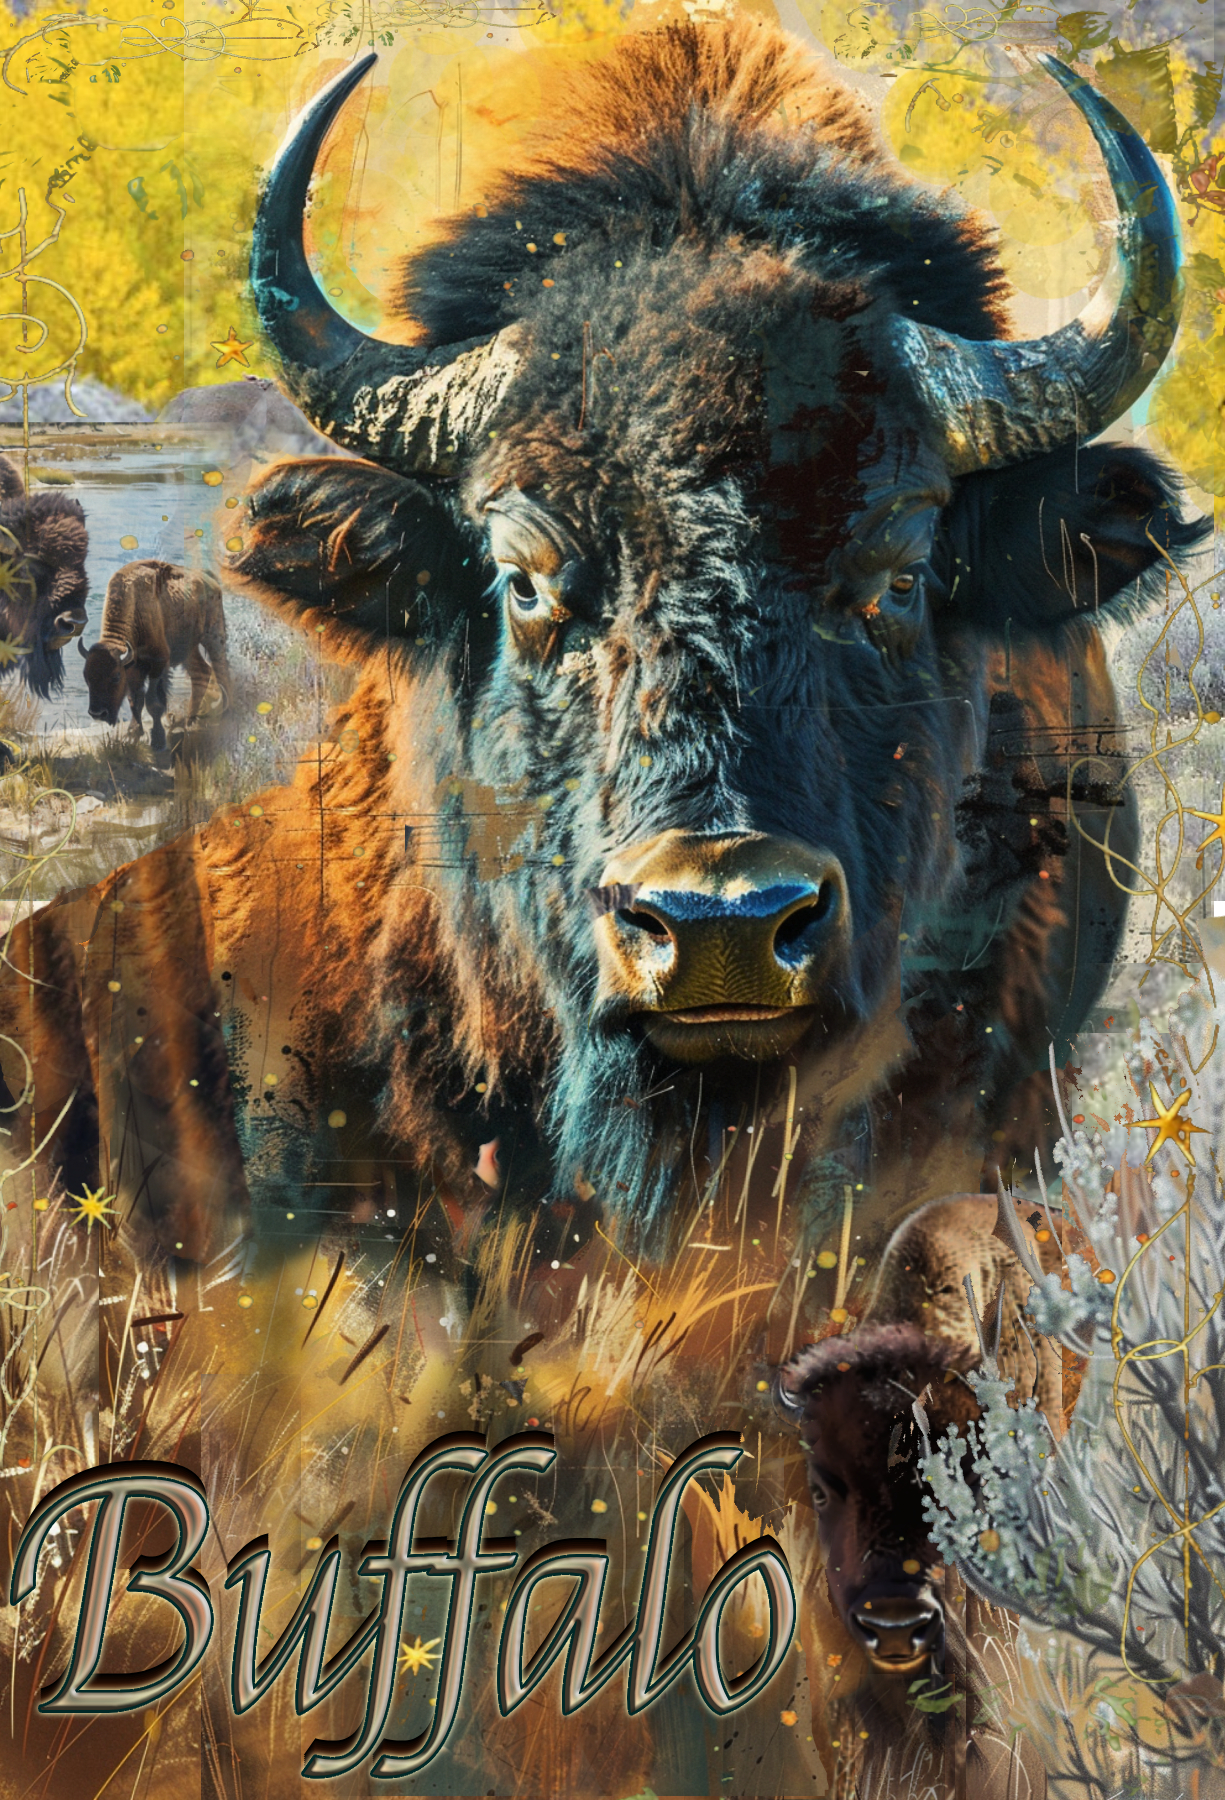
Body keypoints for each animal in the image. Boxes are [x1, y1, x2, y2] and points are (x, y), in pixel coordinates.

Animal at [79, 559, 233, 751]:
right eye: (86, 677)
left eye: (115, 677)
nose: (97, 713)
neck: (134, 604)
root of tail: (208, 578)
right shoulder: (134, 668)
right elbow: (135, 700)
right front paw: (132, 734)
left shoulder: (159, 663)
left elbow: (153, 702)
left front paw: (158, 740)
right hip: (188, 649)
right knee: (202, 672)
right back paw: (190, 720)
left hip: (213, 635)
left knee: (221, 668)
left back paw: (226, 712)